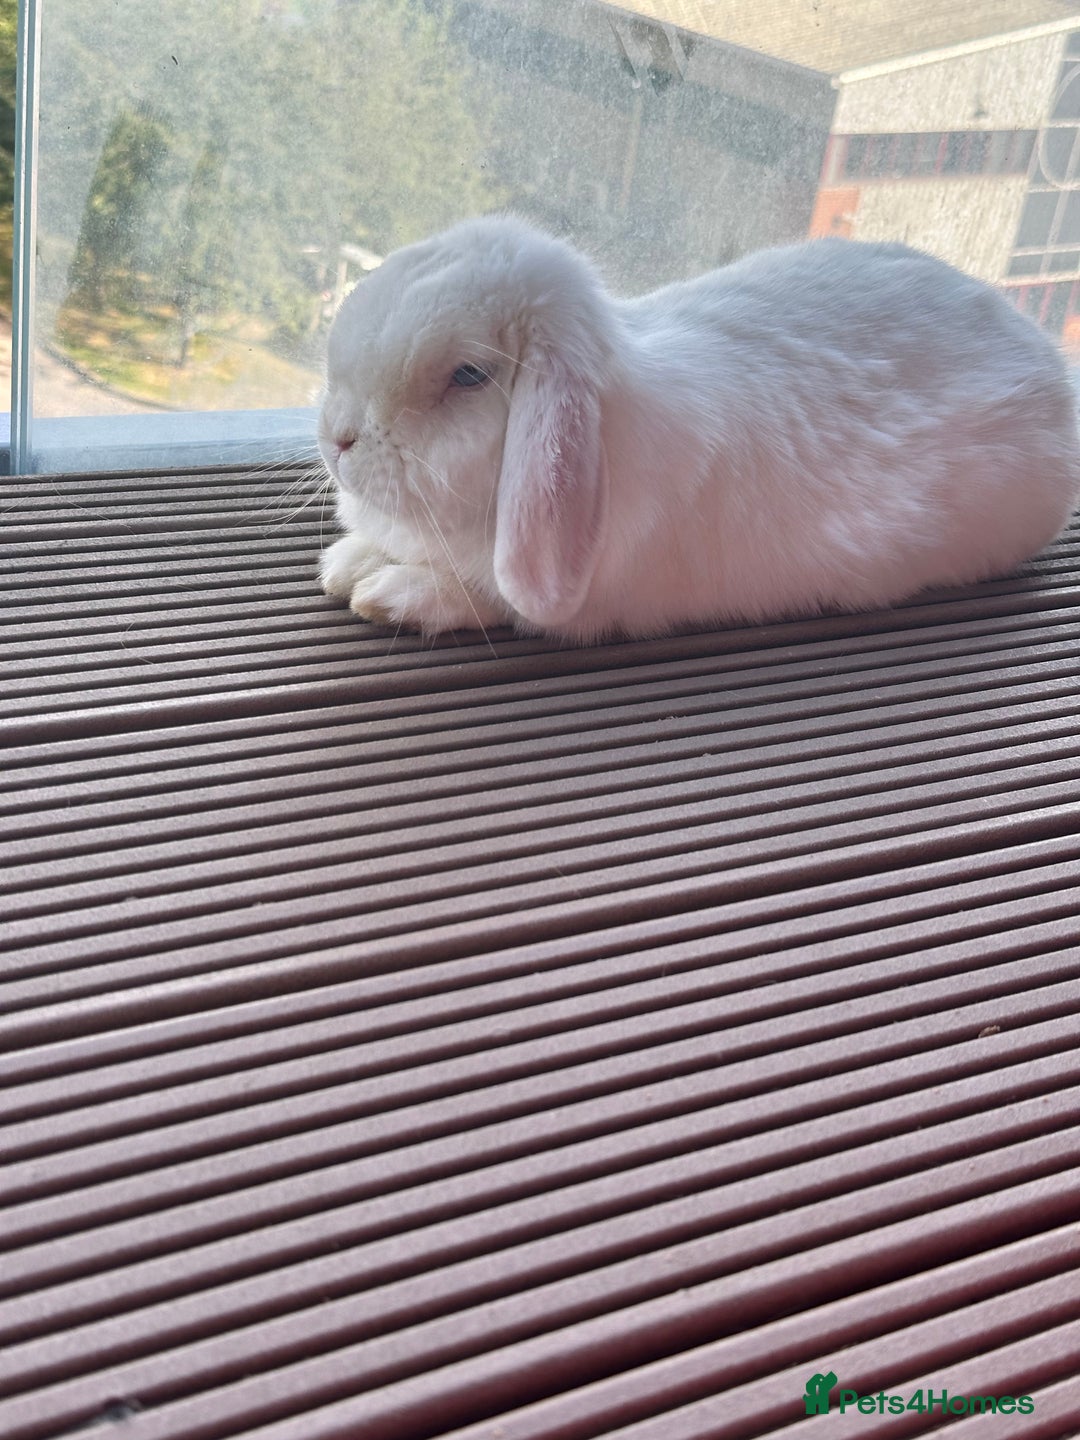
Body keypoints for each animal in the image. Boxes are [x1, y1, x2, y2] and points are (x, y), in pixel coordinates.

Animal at [317, 214, 1080, 641]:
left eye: (469, 376)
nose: (336, 438)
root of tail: (1040, 349)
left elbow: (486, 597)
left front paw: (387, 592)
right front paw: (346, 563)